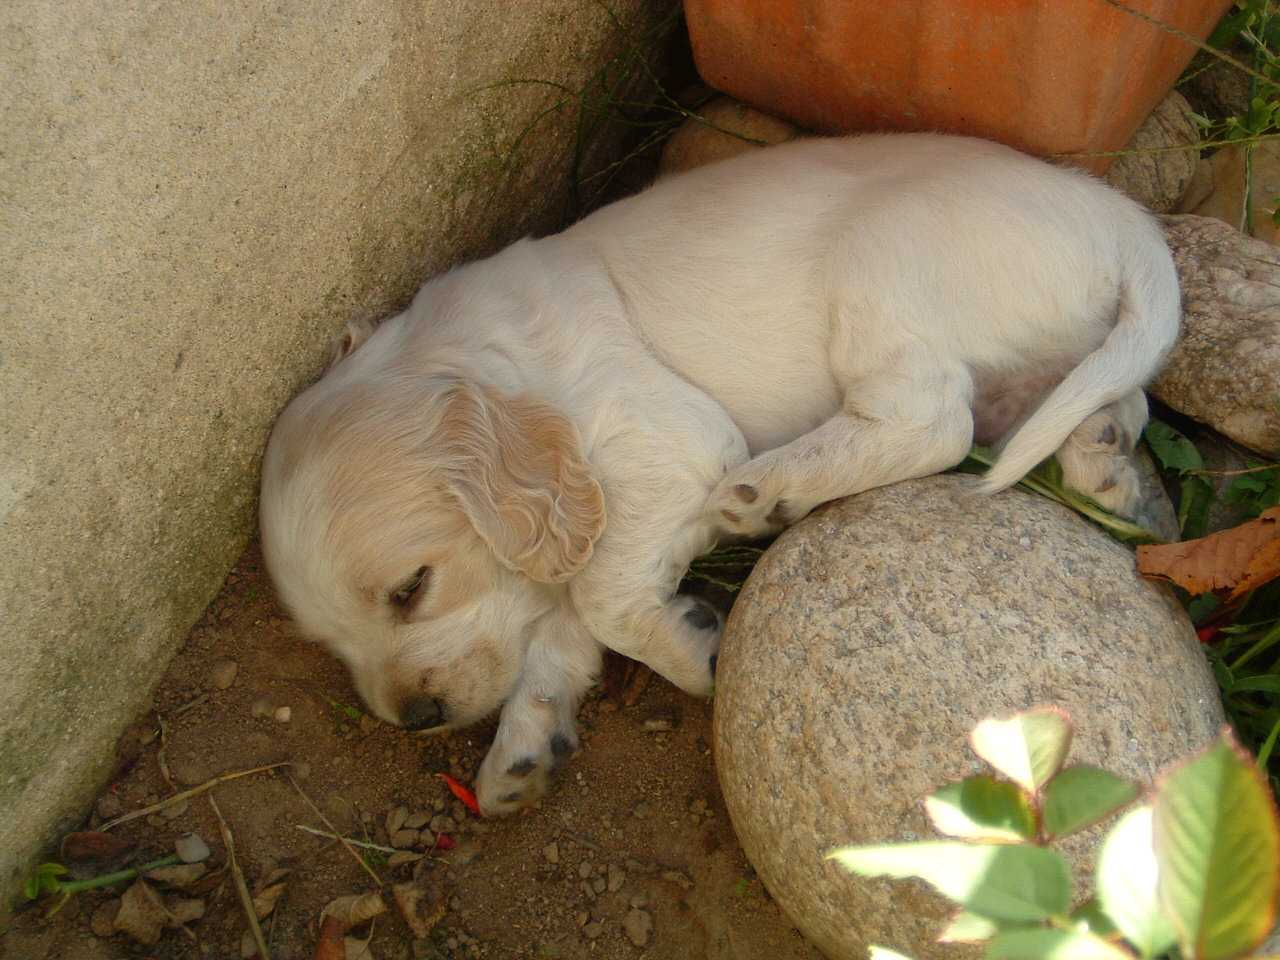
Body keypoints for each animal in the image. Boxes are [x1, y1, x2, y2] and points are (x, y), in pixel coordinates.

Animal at [259, 131, 1177, 814]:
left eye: (411, 588)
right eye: (329, 643)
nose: (415, 719)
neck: (482, 359)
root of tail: (1124, 218)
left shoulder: (668, 443)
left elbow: (598, 597)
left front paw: (690, 652)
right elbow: (567, 625)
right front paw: (526, 746)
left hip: (882, 259)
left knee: (933, 414)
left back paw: (771, 487)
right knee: (1115, 397)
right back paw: (1103, 461)